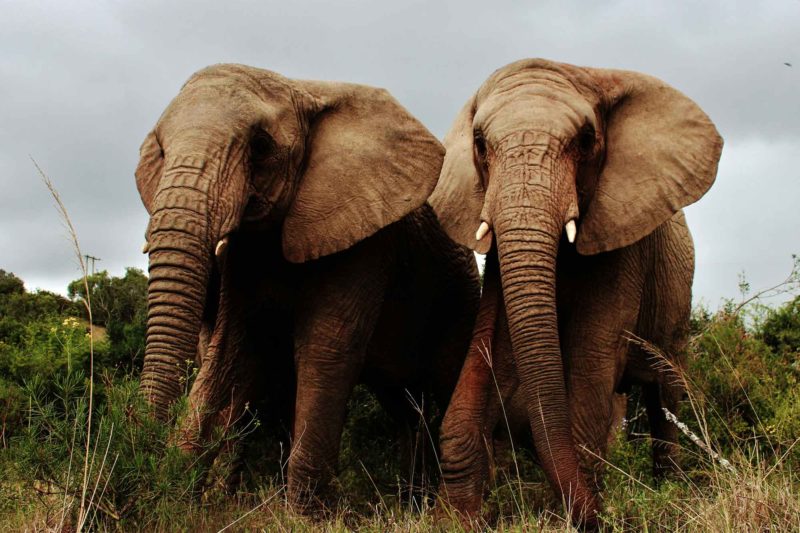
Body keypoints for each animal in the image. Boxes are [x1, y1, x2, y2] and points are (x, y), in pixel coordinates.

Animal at [135, 64, 480, 506]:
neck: (302, 90)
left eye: (260, 146)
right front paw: (176, 500)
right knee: (405, 407)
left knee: (446, 381)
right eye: (160, 150)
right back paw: (412, 504)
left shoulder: (364, 240)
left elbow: (325, 347)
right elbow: (232, 352)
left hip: (460, 294)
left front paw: (302, 514)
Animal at [429, 58, 722, 526]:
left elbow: (591, 360)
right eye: (479, 143)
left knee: (665, 398)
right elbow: (487, 359)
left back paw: (670, 489)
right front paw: (454, 519)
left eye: (586, 140)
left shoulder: (622, 247)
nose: (604, 518)